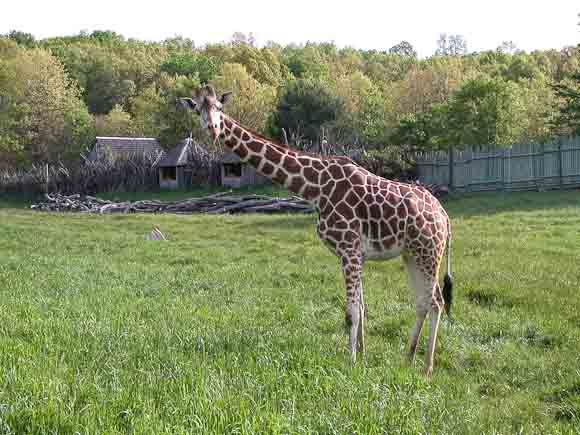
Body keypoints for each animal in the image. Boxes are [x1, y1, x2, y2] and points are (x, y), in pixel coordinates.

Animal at [180, 84, 454, 374]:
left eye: (220, 108)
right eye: (198, 110)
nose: (212, 128)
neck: (316, 188)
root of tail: (445, 216)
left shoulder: (349, 250)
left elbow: (351, 312)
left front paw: (351, 362)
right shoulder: (356, 254)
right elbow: (362, 308)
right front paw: (363, 355)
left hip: (428, 253)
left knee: (436, 301)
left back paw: (427, 368)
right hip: (411, 254)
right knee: (423, 301)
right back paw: (407, 359)